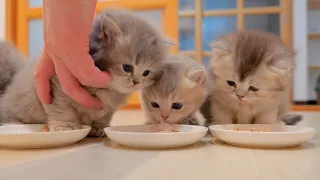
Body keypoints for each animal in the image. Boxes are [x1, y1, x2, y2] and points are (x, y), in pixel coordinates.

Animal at [0, 9, 169, 136]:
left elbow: (104, 116)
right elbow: (63, 111)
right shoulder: (59, 85)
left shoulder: (109, 107)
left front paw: (98, 127)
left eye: (146, 72)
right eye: (127, 67)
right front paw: (66, 126)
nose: (136, 82)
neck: (109, 90)